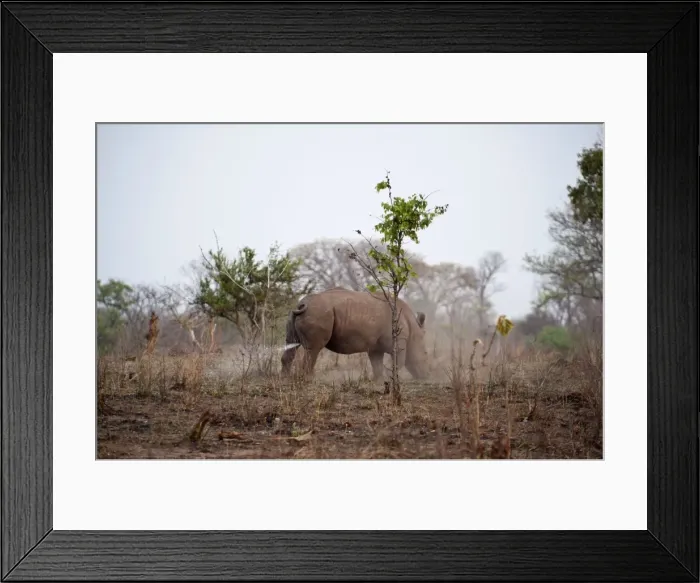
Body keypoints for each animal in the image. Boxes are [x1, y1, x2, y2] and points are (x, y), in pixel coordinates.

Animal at [280, 287, 429, 380]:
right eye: (425, 354)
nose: (425, 375)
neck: (413, 326)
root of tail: (302, 304)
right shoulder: (398, 340)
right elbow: (399, 361)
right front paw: (390, 377)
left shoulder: (375, 346)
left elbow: (376, 363)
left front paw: (379, 380)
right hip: (318, 313)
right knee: (313, 350)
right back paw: (309, 379)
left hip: (297, 314)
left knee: (291, 344)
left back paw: (285, 379)